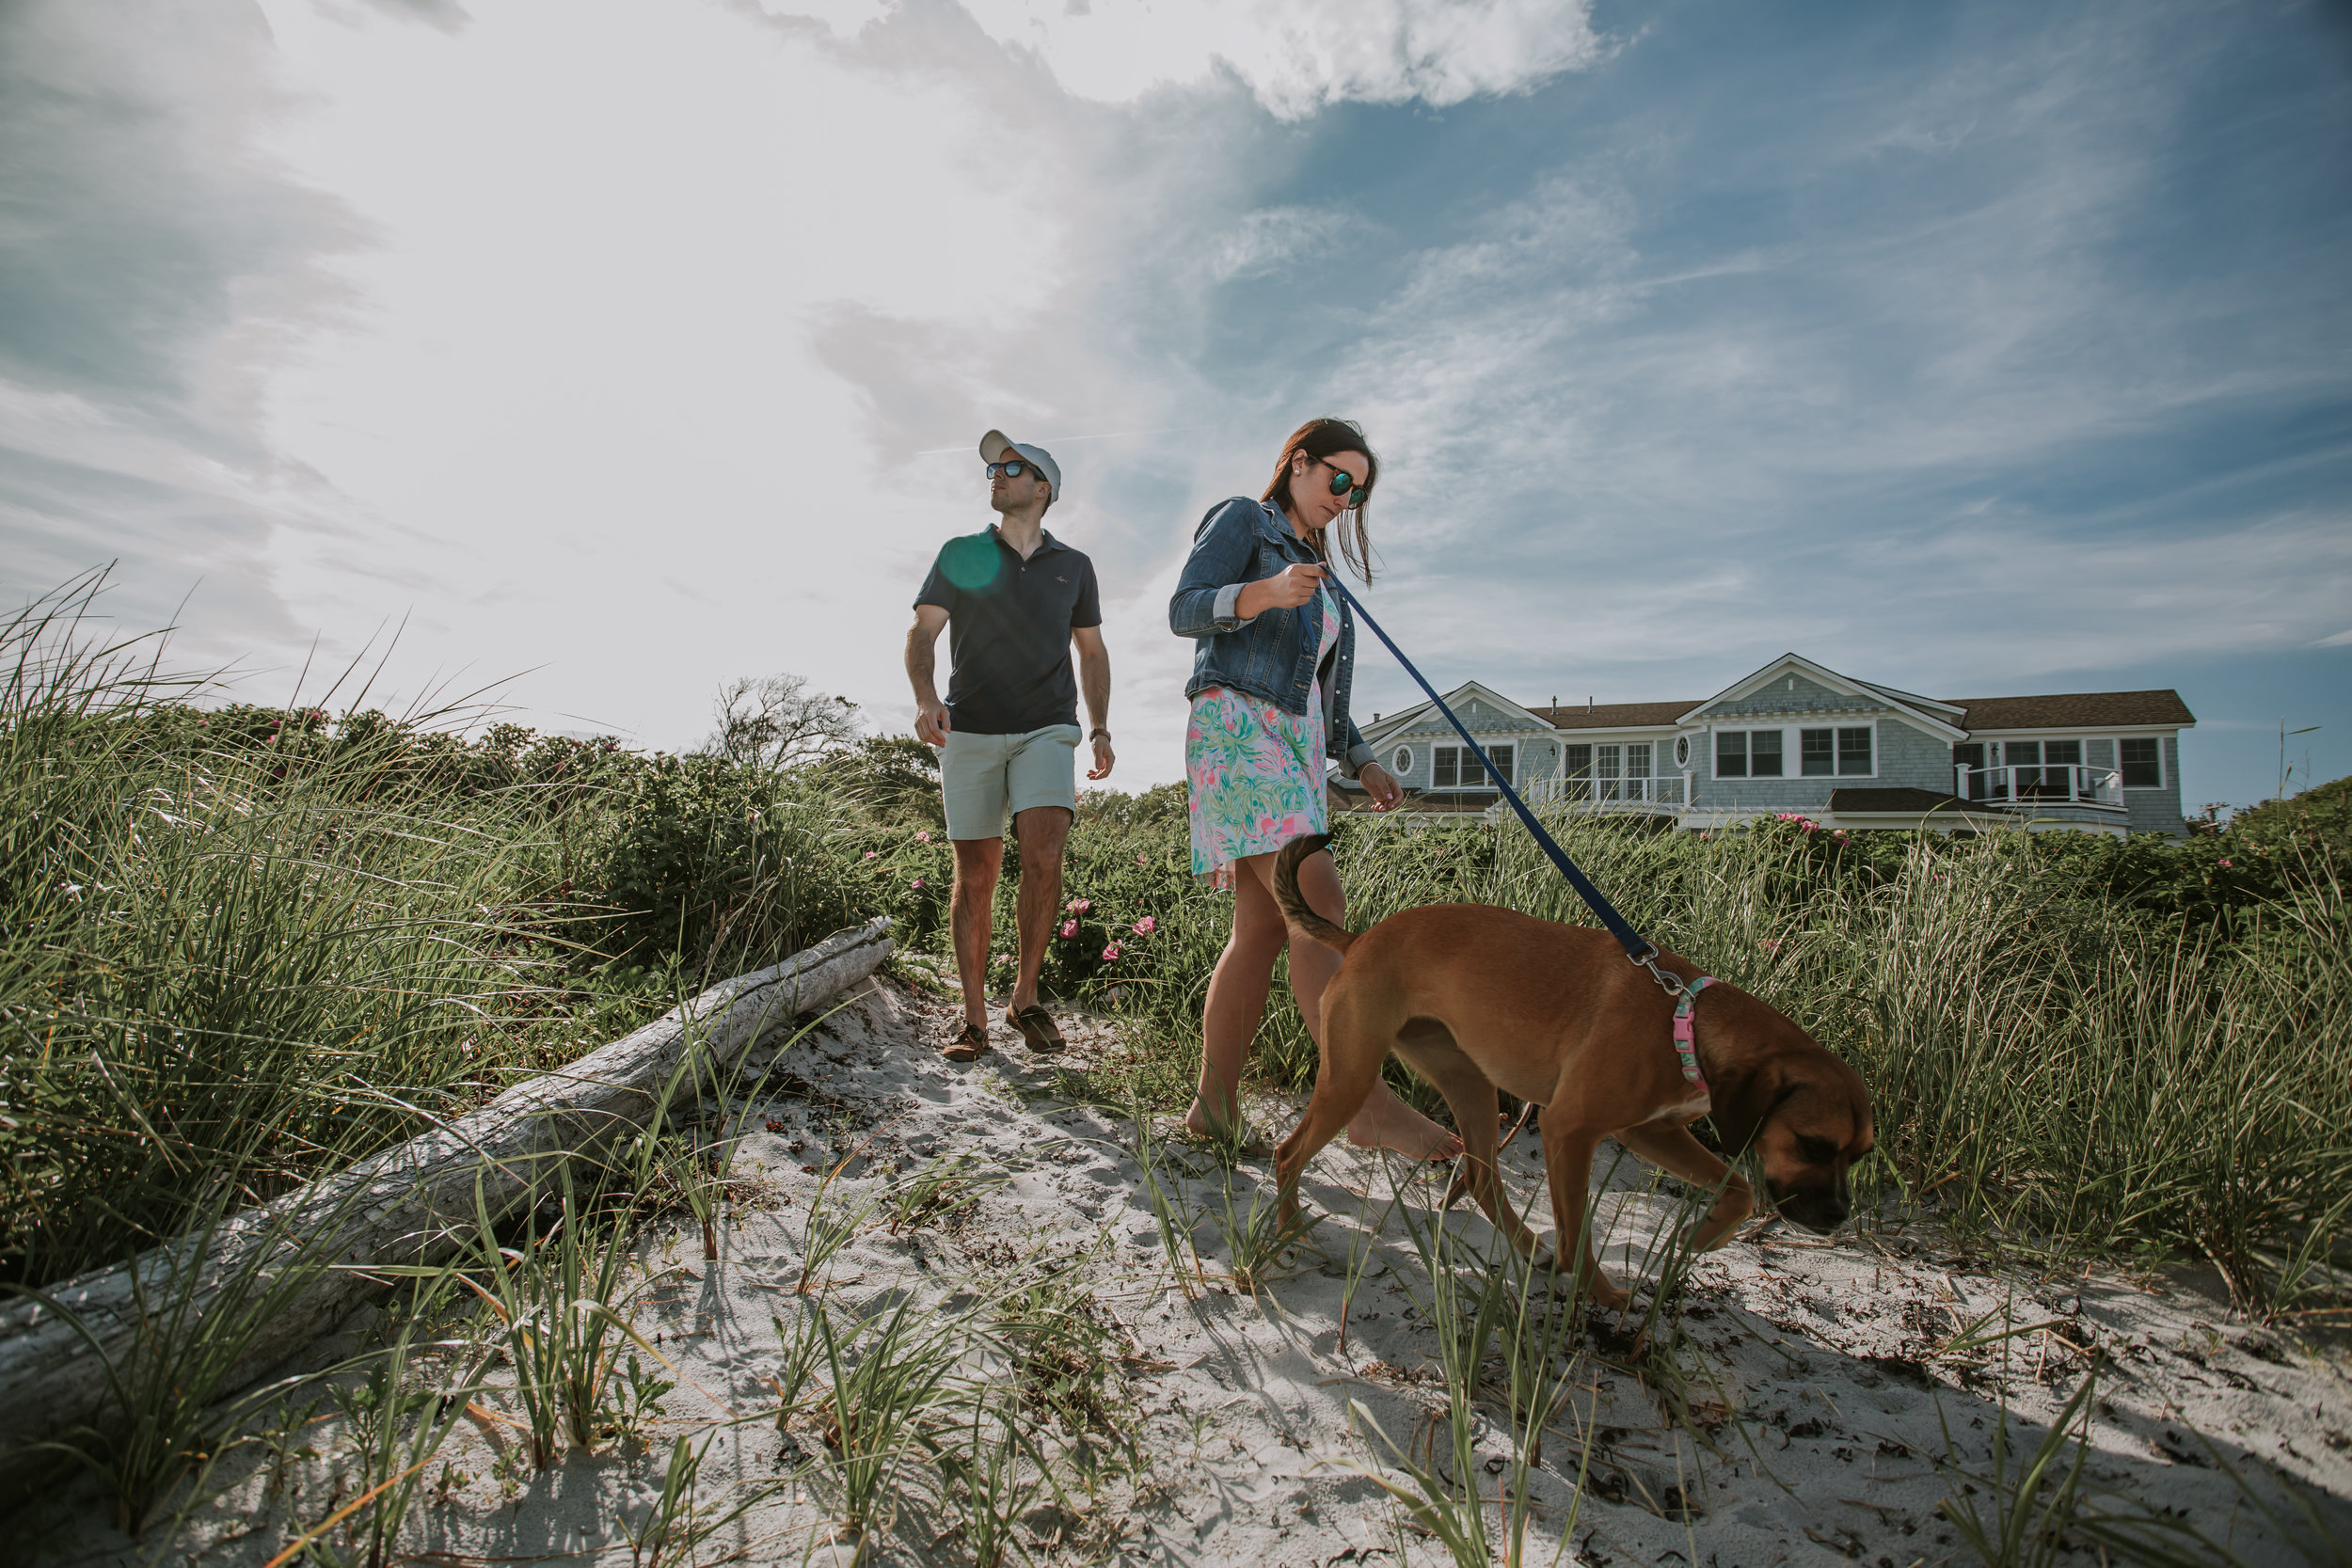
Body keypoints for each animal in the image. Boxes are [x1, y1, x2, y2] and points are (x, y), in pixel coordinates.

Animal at [1270, 832, 1872, 1316]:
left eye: (1860, 1156)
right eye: (1813, 1145)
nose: (1838, 1218)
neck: (1684, 1020)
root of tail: (1359, 940)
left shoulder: (1652, 1131)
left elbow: (1741, 1189)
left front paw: (1702, 1236)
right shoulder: (1571, 1132)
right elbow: (1579, 1231)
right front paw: (1601, 1294)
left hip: (1472, 1087)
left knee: (1482, 1179)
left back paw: (1531, 1248)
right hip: (1350, 1079)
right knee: (1289, 1153)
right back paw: (1291, 1232)